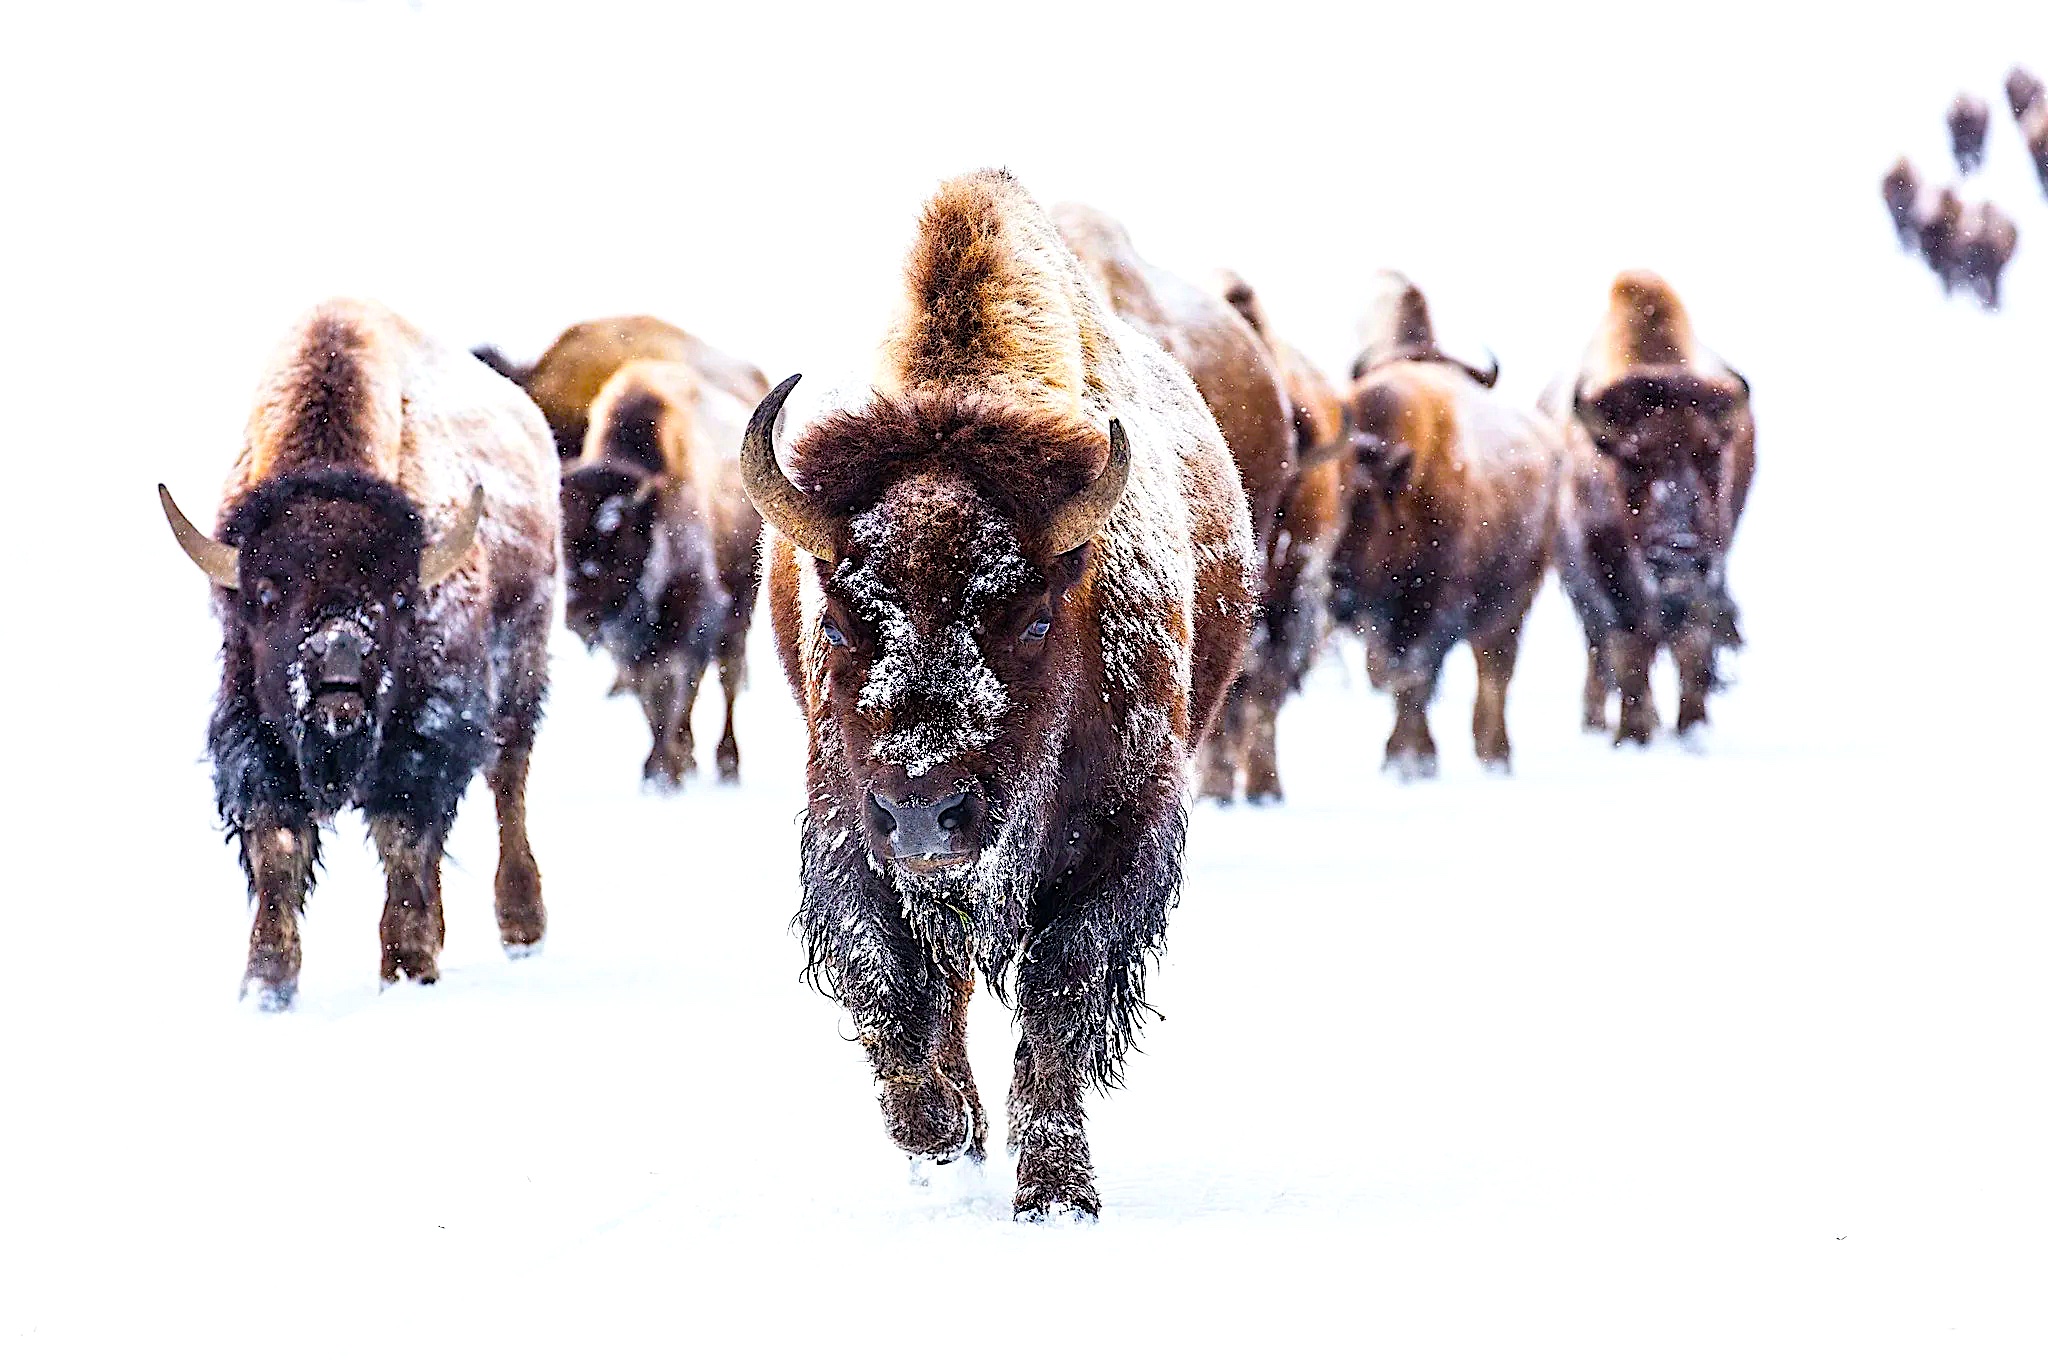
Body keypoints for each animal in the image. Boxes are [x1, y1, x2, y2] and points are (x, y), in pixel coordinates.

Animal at [160, 300, 558, 1007]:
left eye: (399, 596)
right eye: (266, 595)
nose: (338, 675)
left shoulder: (427, 735)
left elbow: (403, 838)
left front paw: (406, 966)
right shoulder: (252, 732)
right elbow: (278, 844)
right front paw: (266, 985)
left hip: (522, 670)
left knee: (508, 782)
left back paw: (521, 928)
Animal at [561, 356, 767, 786]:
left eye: (614, 536)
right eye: (561, 536)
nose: (574, 612)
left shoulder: (693, 618)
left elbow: (674, 692)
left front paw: (662, 772)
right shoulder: (629, 642)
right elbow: (647, 694)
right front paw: (664, 768)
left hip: (742, 601)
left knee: (728, 675)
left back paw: (727, 763)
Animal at [749, 169, 1256, 1220]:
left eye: (1029, 617)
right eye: (837, 620)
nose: (925, 813)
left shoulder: (1122, 838)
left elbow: (1061, 997)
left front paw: (1057, 1192)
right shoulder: (847, 828)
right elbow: (890, 982)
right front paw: (939, 1133)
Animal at [1330, 274, 1558, 776]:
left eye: (1364, 506)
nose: (1334, 582)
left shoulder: (1433, 607)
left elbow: (1415, 677)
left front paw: (1412, 760)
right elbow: (1397, 674)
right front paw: (1403, 757)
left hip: (1514, 600)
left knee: (1495, 669)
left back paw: (1495, 755)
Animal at [1550, 271, 1755, 743]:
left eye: (1712, 454)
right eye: (1631, 460)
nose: (1678, 550)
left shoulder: (1708, 570)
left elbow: (1691, 647)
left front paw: (1692, 728)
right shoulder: (1606, 577)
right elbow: (1629, 651)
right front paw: (1633, 733)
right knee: (1602, 650)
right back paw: (1597, 722)